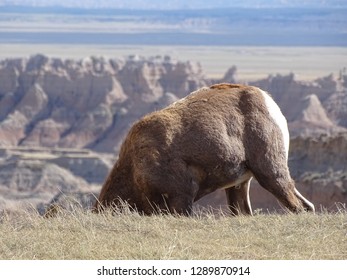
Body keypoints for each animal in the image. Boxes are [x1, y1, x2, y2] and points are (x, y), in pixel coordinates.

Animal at [94, 82, 316, 214]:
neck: (135, 167)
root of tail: (269, 103)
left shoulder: (181, 200)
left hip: (270, 173)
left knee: (300, 207)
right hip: (239, 185)